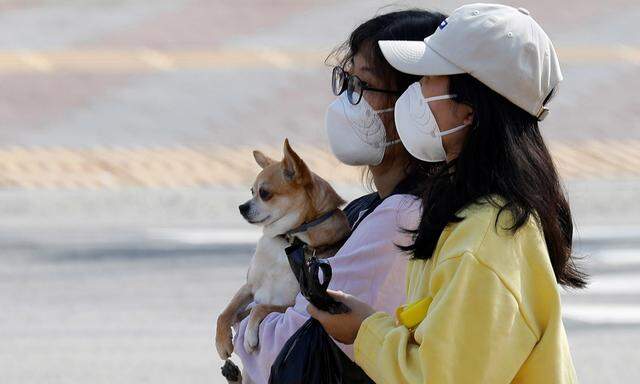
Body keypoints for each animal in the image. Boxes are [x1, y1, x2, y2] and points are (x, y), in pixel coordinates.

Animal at [218, 138, 352, 376]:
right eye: (251, 191)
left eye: (264, 193)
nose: (241, 207)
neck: (287, 240)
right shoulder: (249, 287)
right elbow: (226, 312)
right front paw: (222, 342)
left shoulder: (289, 303)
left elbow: (260, 307)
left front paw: (249, 335)